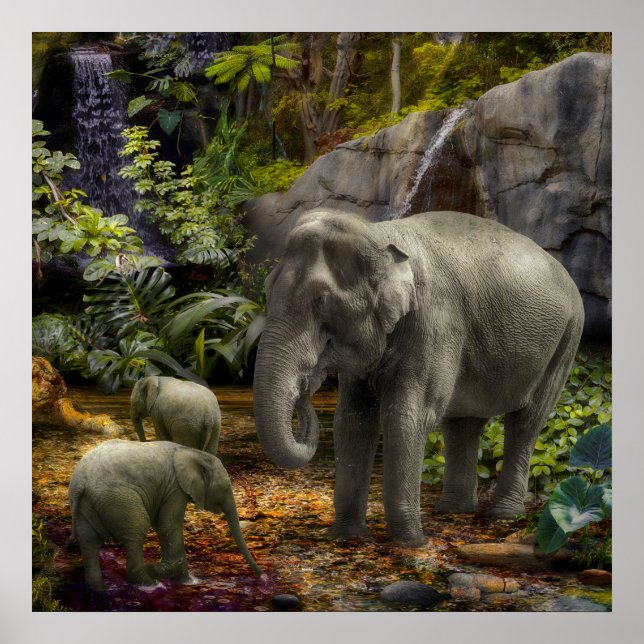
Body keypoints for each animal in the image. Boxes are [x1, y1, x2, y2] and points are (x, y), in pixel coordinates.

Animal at [68, 439, 263, 591]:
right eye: (224, 488)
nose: (261, 576)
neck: (193, 452)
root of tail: (81, 482)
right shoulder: (175, 488)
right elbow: (169, 525)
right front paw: (175, 577)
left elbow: (163, 526)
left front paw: (185, 581)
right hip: (118, 499)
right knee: (136, 530)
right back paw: (150, 584)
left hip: (85, 506)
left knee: (88, 543)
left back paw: (99, 589)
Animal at [252, 209, 584, 546]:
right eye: (267, 289)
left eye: (321, 300)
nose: (306, 388)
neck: (380, 234)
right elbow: (352, 421)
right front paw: (346, 537)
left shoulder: (436, 322)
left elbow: (406, 417)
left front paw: (410, 544)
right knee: (463, 422)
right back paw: (454, 511)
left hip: (567, 339)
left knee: (526, 421)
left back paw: (502, 515)